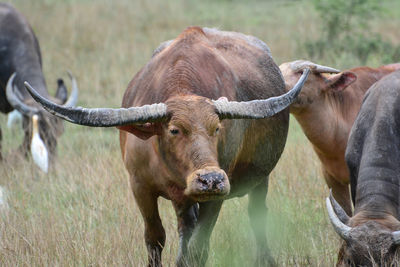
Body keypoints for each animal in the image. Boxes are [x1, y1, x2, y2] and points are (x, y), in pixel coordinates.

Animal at [24, 26, 310, 266]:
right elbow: (155, 238)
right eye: (174, 130)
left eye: (217, 128)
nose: (210, 179)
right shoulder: (140, 186)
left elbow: (198, 247)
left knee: (256, 213)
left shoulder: (217, 194)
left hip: (260, 178)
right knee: (186, 224)